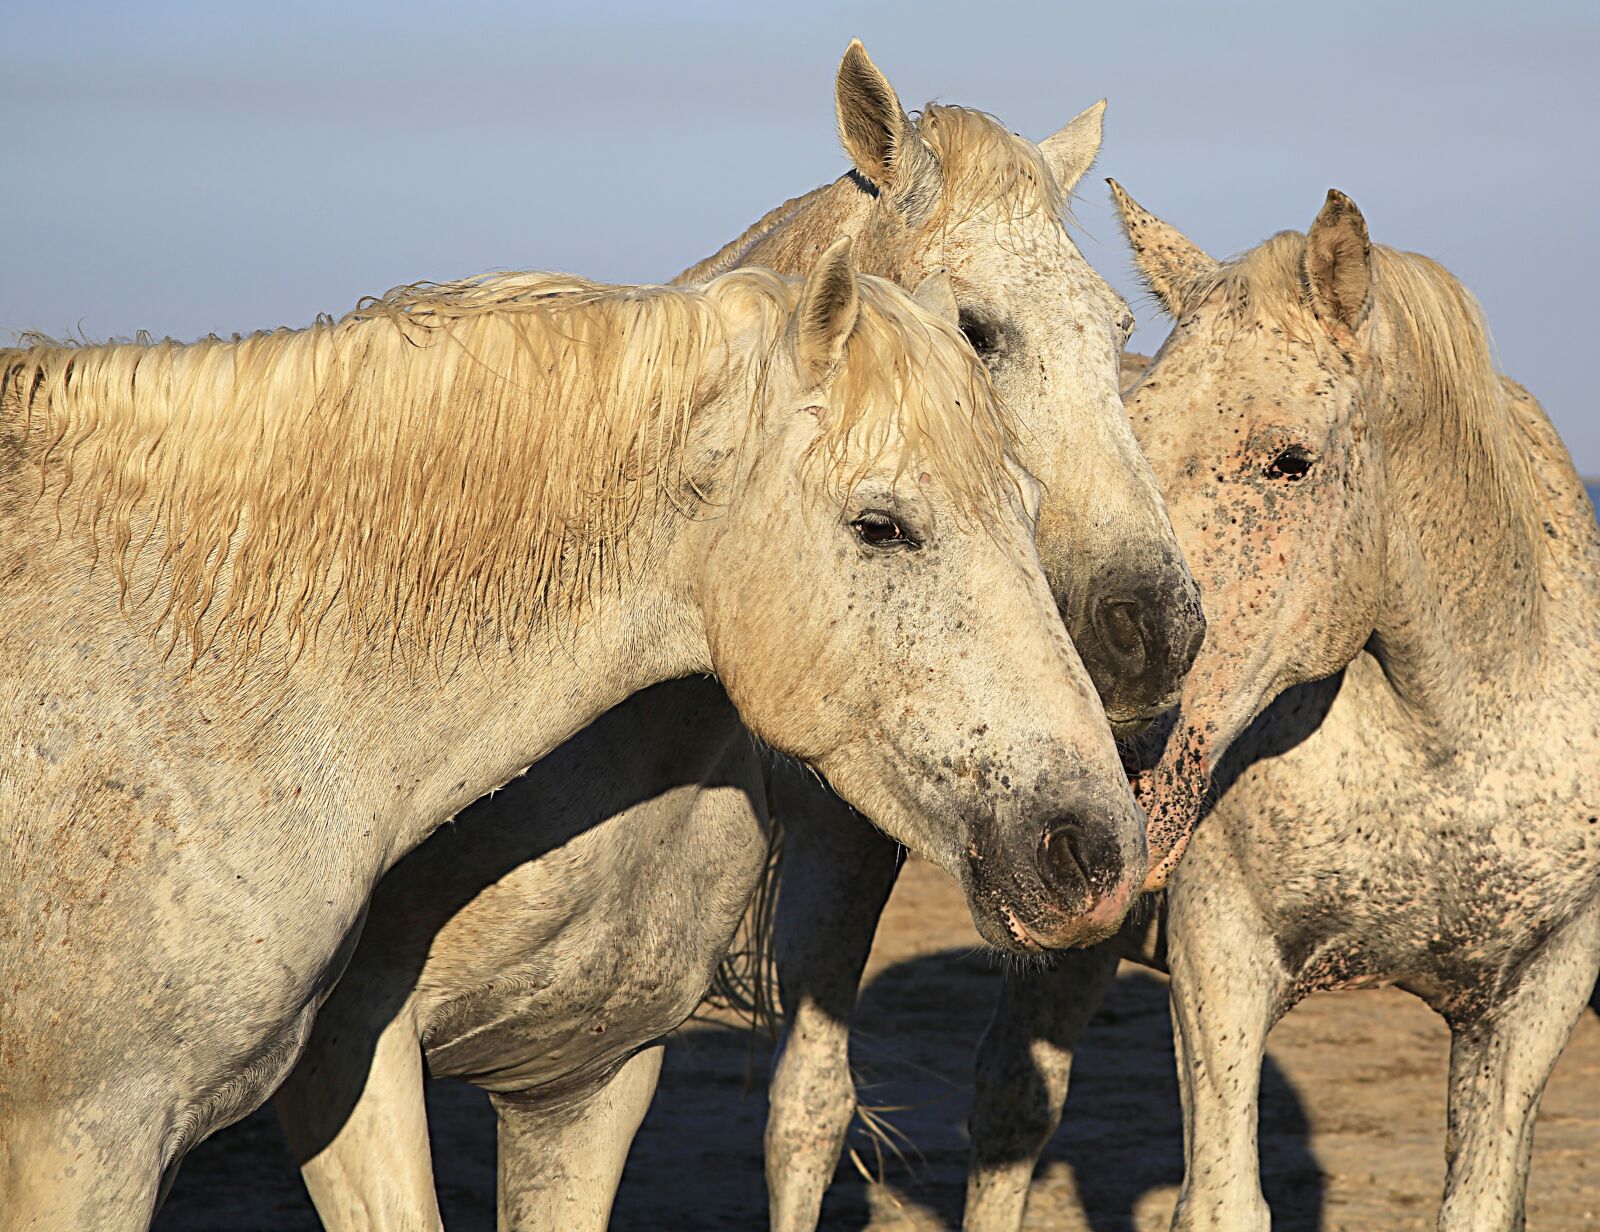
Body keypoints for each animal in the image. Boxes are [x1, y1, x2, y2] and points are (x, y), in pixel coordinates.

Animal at [961, 186, 1600, 1232]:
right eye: (1135, 432)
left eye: (1290, 461)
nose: (1097, 702)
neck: (1446, 743)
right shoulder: (1222, 965)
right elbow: (1225, 1199)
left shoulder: (1538, 997)